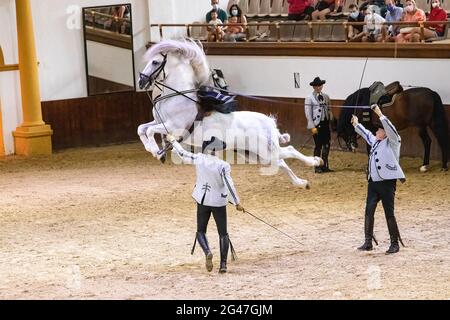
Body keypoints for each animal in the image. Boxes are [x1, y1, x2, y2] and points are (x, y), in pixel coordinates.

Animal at [138, 38, 324, 188]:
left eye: (155, 62)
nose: (141, 81)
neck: (175, 97)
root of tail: (268, 122)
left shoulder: (174, 127)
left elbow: (149, 131)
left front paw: (155, 150)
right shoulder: (159, 123)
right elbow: (142, 129)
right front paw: (153, 150)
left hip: (263, 150)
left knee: (290, 151)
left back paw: (315, 162)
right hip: (254, 154)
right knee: (281, 161)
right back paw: (301, 182)